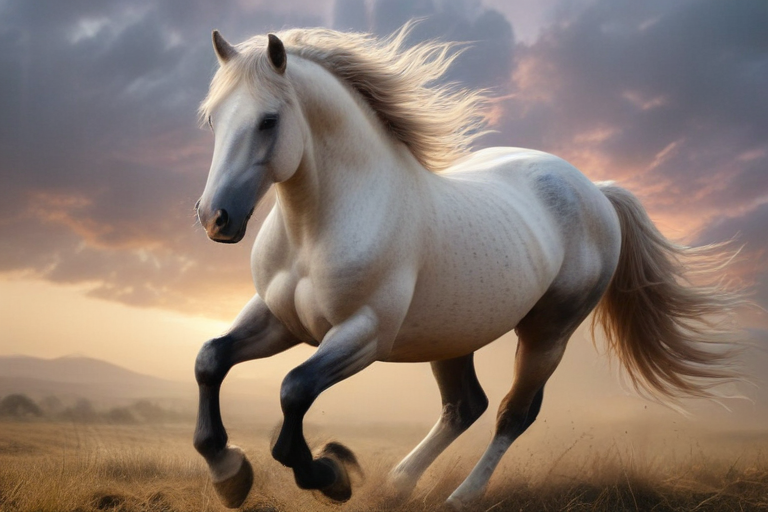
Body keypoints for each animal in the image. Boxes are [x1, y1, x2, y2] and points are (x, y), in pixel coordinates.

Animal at [192, 25, 740, 509]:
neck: (316, 228)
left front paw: (332, 473)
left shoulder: (363, 334)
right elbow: (210, 359)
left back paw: (461, 496)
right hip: (451, 334)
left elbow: (294, 391)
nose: (215, 218)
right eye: (213, 120)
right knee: (464, 406)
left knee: (513, 414)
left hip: (547, 333)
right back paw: (397, 486)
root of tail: (594, 190)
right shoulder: (278, 319)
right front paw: (230, 476)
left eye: (268, 121)